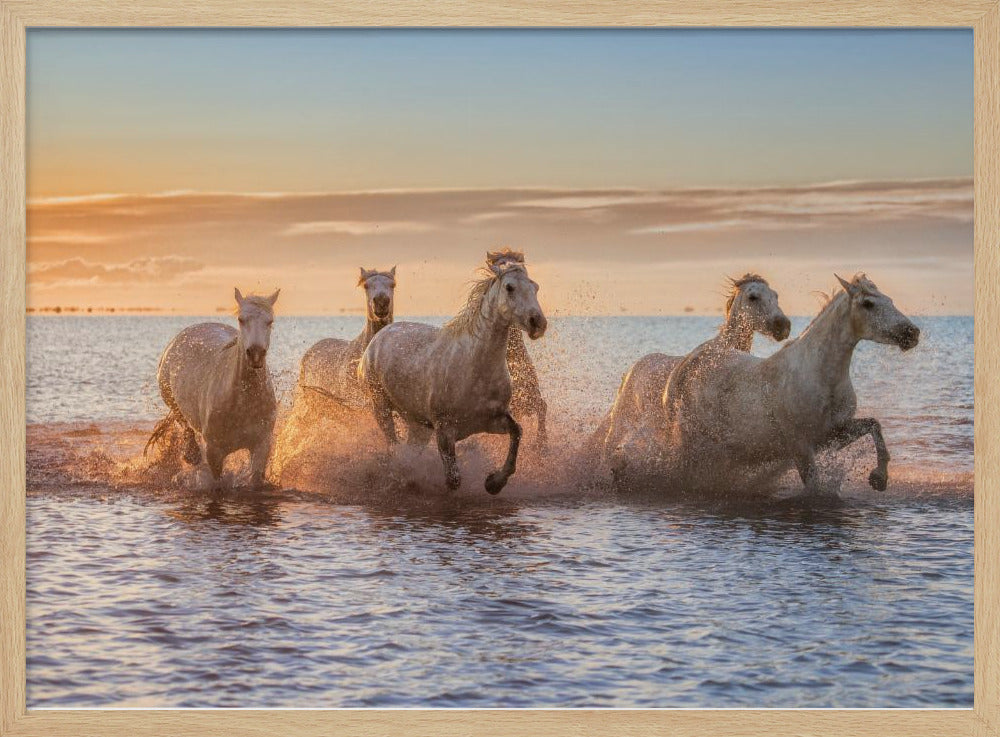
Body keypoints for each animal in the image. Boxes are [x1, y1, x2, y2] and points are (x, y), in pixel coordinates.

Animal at [145, 288, 279, 489]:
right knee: (183, 422)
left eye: (270, 321)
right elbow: (217, 481)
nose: (255, 354)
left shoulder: (261, 445)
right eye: (241, 319)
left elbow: (255, 478)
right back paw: (191, 455)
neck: (242, 403)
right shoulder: (214, 452)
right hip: (171, 400)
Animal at [650, 273, 919, 498]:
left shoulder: (833, 434)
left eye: (890, 300)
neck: (820, 376)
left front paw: (879, 479)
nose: (912, 333)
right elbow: (814, 486)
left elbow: (874, 425)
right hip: (690, 442)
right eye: (868, 303)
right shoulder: (801, 446)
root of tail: (686, 363)